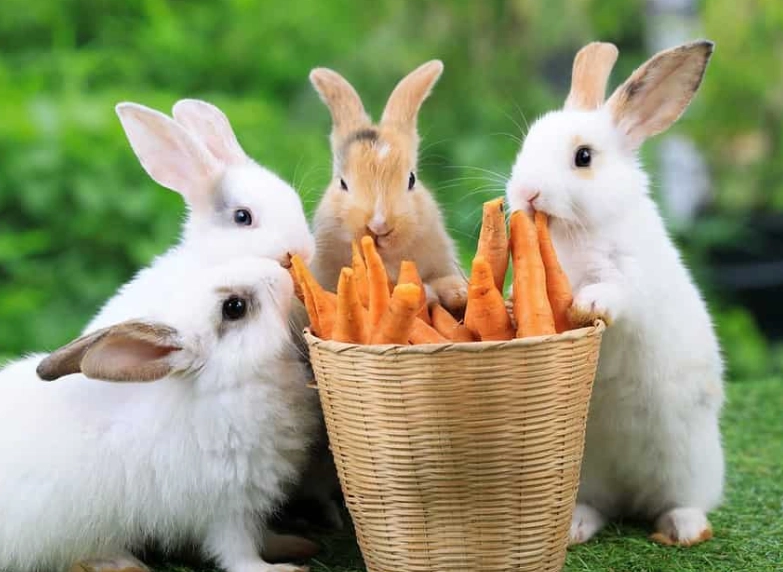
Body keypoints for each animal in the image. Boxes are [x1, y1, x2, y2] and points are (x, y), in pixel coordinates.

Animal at [0, 256, 321, 572]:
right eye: (234, 307)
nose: (280, 270)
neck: (226, 384)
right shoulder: (227, 504)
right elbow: (237, 551)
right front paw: (279, 568)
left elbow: (264, 535)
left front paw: (294, 544)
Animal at [504, 41, 724, 546]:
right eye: (526, 145)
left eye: (583, 157)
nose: (526, 193)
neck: (574, 232)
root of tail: (631, 496)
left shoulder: (631, 276)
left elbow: (614, 292)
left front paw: (587, 304)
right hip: (587, 474)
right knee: (599, 508)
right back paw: (576, 528)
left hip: (692, 466)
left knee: (682, 502)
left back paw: (683, 530)